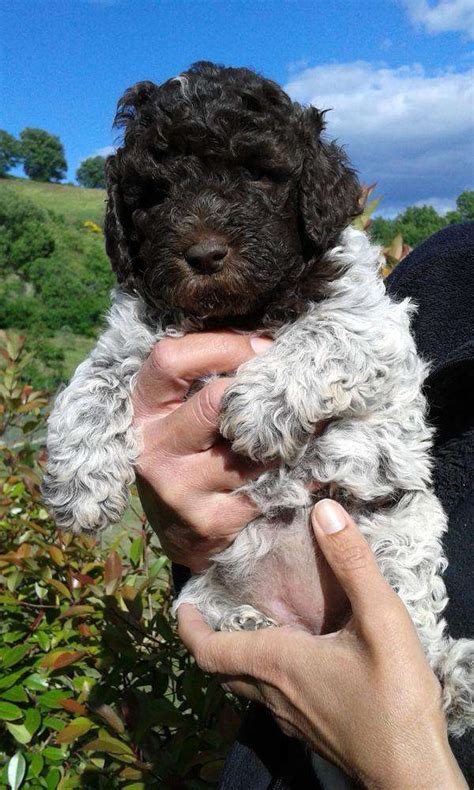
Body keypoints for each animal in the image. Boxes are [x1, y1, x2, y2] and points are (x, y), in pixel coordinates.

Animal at [42, 62, 472, 736]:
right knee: (203, 606)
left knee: (417, 623)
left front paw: (258, 406)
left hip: (395, 534)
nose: (204, 254)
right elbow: (95, 376)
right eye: (153, 194)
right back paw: (245, 621)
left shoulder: (372, 323)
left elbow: (323, 333)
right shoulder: (136, 332)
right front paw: (80, 480)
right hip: (209, 588)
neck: (238, 310)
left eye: (258, 173)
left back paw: (452, 680)